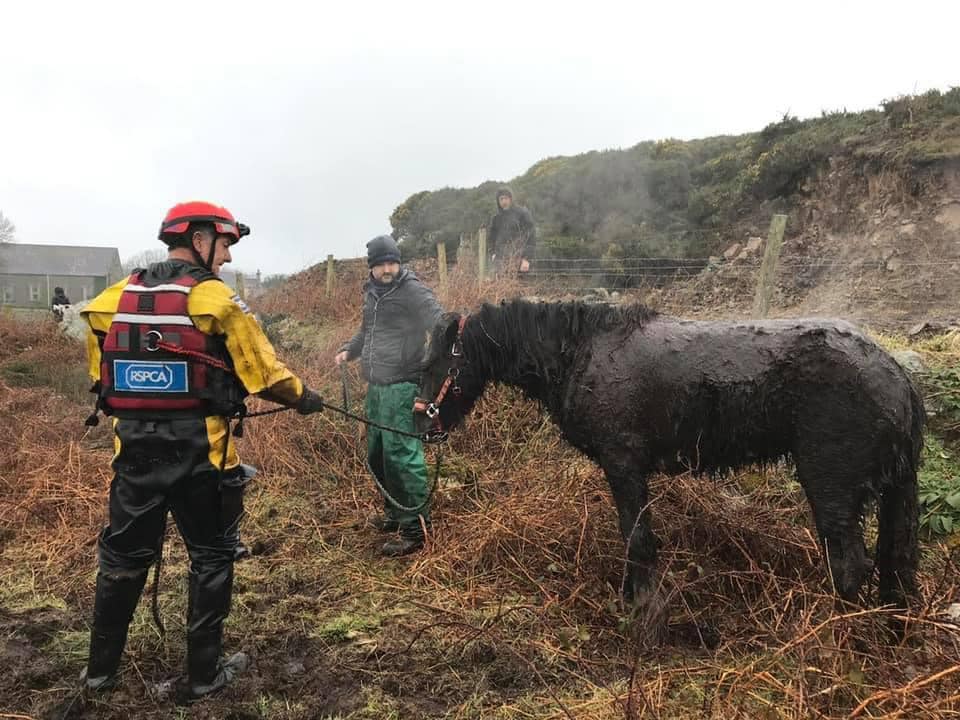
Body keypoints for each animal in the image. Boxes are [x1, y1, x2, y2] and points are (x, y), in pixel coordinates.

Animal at [416, 300, 928, 612]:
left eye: (436, 363)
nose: (423, 426)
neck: (580, 351)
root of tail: (895, 374)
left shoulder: (624, 467)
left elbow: (637, 541)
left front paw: (639, 608)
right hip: (896, 490)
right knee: (896, 564)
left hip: (832, 488)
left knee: (851, 567)